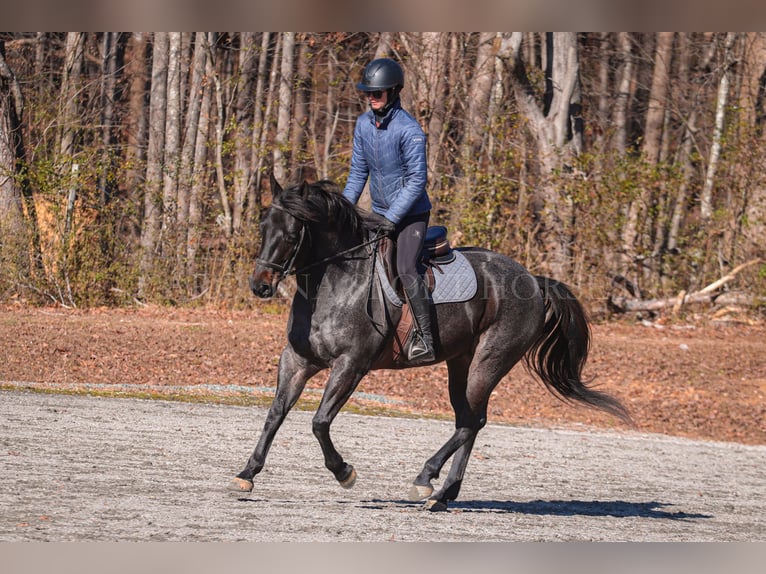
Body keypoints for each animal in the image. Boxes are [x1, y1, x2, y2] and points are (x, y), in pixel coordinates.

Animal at [230, 176, 636, 512]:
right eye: (263, 226)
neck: (334, 282)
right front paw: (247, 473)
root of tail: (534, 281)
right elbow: (275, 413)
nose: (260, 285)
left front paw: (344, 472)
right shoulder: (297, 360)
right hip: (460, 362)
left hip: (489, 361)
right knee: (468, 421)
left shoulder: (351, 365)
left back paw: (426, 480)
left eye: (292, 233)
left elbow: (319, 422)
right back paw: (442, 496)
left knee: (473, 421)